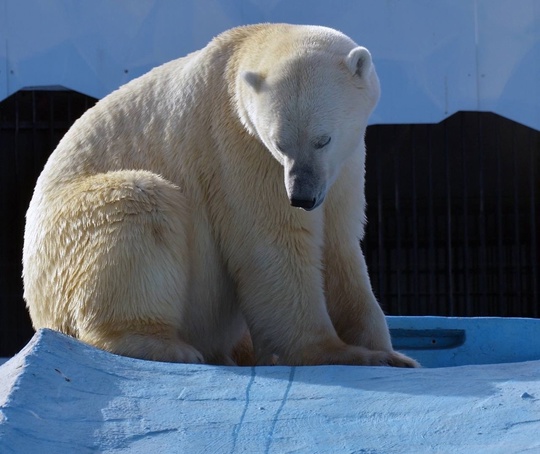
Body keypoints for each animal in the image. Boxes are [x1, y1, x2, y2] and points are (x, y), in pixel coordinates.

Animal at [22, 23, 418, 368]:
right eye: (280, 143)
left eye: (323, 139)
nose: (302, 197)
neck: (241, 53)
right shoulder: (239, 147)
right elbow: (273, 243)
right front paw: (337, 352)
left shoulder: (343, 167)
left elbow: (339, 245)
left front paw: (390, 353)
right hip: (66, 239)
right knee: (138, 202)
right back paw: (164, 345)